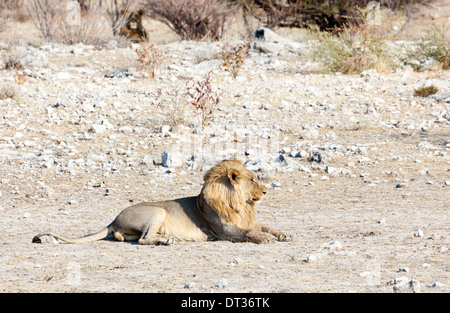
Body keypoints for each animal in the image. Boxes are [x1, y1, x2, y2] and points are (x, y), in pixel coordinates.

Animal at [32, 160, 292, 245]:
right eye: (252, 179)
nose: (266, 191)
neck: (240, 204)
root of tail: (113, 219)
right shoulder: (223, 230)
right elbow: (249, 232)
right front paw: (265, 238)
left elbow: (264, 225)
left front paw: (283, 234)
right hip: (157, 211)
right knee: (144, 239)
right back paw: (165, 241)